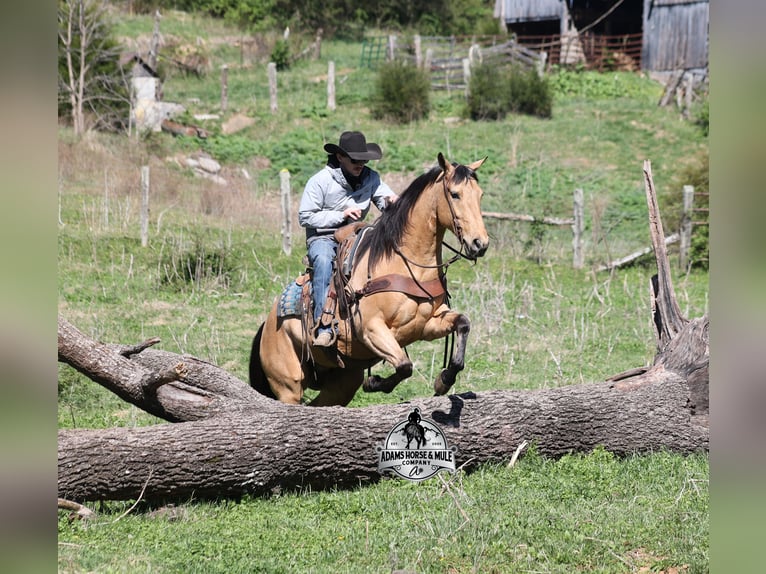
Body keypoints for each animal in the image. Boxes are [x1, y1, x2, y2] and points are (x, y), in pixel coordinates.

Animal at [249, 152, 489, 406]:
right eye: (454, 194)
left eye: (480, 195)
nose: (480, 243)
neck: (407, 266)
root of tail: (267, 325)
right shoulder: (371, 329)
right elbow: (404, 366)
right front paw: (374, 382)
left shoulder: (427, 325)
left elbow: (463, 324)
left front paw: (443, 380)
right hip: (288, 387)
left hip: (341, 383)